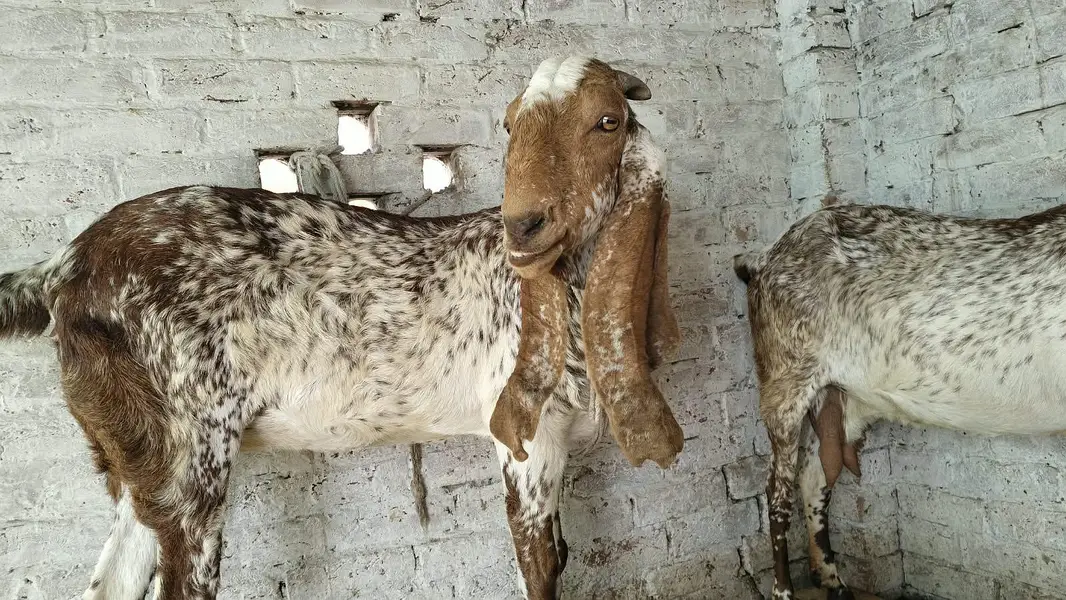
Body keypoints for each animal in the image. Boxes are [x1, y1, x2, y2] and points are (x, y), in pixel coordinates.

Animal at [0, 57, 673, 600]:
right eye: (511, 125)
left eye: (608, 121)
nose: (524, 226)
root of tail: (63, 268)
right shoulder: (527, 438)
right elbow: (542, 571)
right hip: (193, 448)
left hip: (140, 453)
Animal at [734, 201, 1066, 599]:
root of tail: (762, 258)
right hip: (784, 384)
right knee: (776, 492)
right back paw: (784, 590)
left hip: (840, 398)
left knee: (813, 476)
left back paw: (832, 580)